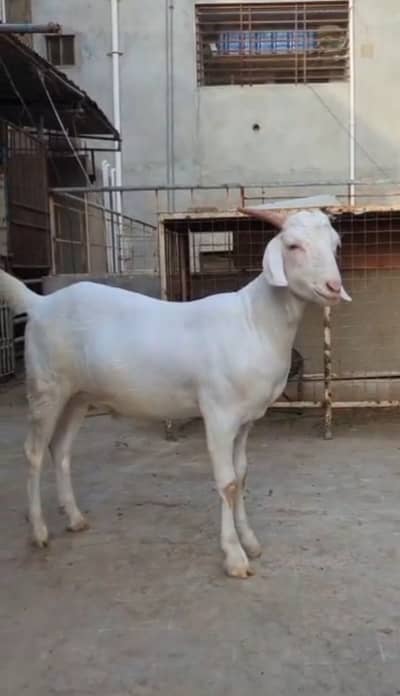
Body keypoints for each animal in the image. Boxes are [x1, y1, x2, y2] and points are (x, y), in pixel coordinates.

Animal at [0, 208, 351, 578]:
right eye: (293, 246)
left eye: (335, 245)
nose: (333, 286)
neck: (253, 321)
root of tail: (41, 303)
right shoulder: (219, 413)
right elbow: (227, 482)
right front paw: (234, 556)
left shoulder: (246, 419)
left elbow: (241, 475)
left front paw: (251, 542)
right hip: (46, 386)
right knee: (34, 451)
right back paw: (39, 531)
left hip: (77, 394)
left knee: (61, 449)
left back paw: (75, 517)